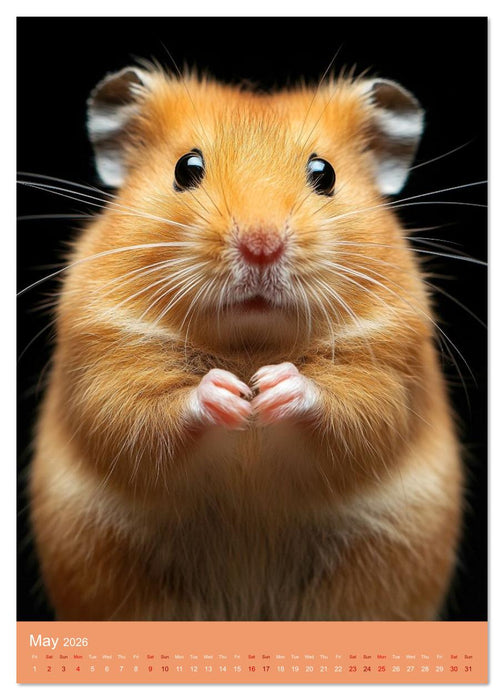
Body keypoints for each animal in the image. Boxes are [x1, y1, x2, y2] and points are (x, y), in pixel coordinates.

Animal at [30, 65, 462, 621]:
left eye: (325, 174)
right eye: (186, 167)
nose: (261, 246)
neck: (249, 344)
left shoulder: (388, 366)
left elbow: (350, 407)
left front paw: (271, 388)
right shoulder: (106, 361)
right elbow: (144, 412)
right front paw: (232, 395)